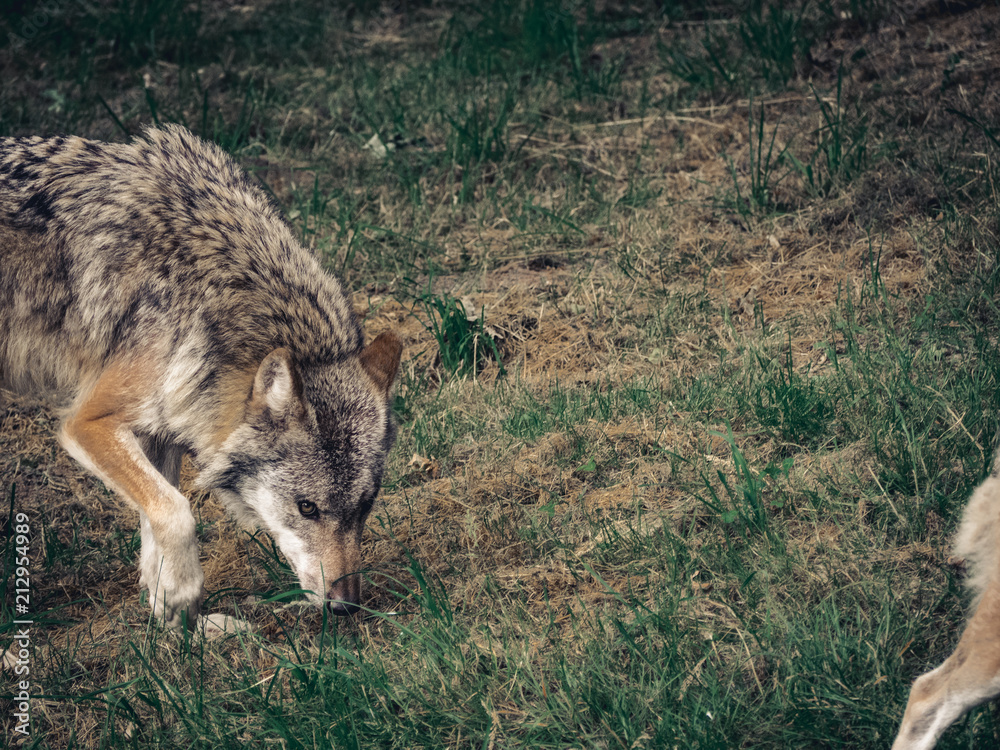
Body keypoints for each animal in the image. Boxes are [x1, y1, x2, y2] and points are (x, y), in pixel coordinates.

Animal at [0, 125, 401, 629]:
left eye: (365, 506)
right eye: (306, 508)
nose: (346, 605)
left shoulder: (164, 427)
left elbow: (155, 526)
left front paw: (178, 625)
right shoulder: (89, 423)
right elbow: (177, 511)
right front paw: (185, 597)